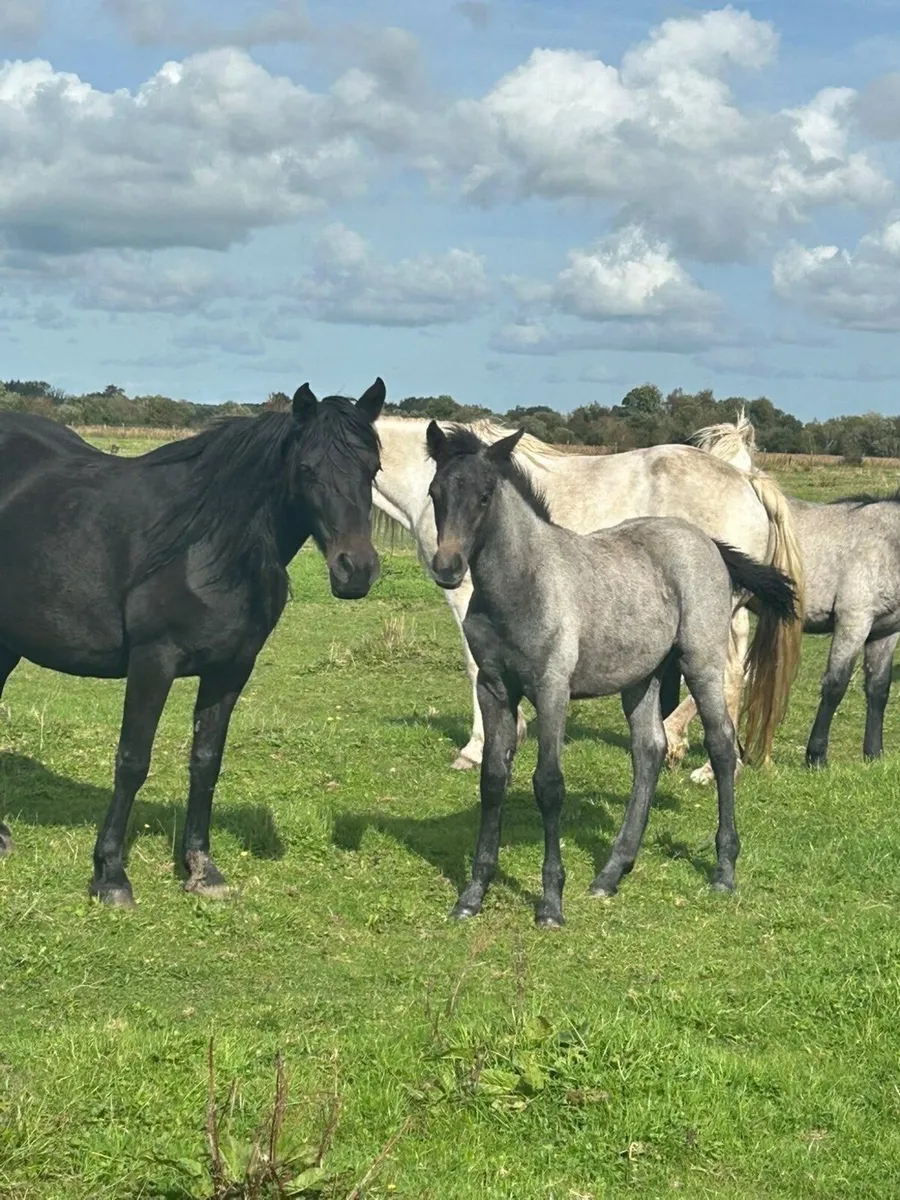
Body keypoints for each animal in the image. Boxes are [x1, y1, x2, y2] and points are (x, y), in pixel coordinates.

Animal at [0, 380, 385, 904]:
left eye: (374, 469)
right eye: (307, 468)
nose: (356, 570)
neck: (205, 547)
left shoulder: (230, 670)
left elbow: (206, 763)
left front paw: (201, 869)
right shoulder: (153, 663)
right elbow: (133, 760)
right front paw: (110, 875)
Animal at [373, 414, 805, 780]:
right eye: (435, 492)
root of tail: (747, 479)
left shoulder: (465, 595)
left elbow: (474, 665)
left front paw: (477, 748)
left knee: (728, 672)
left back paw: (695, 754)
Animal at [425, 422, 797, 927]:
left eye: (485, 496)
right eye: (435, 493)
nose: (447, 568)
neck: (522, 586)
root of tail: (706, 542)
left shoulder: (552, 688)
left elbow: (548, 784)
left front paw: (550, 903)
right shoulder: (495, 688)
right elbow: (492, 780)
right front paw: (472, 895)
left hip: (701, 661)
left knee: (721, 745)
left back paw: (723, 869)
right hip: (643, 677)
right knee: (649, 752)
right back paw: (612, 872)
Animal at [686, 414, 900, 767]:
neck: (887, 542)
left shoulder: (885, 631)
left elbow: (878, 689)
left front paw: (873, 753)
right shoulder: (854, 622)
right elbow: (835, 685)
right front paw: (816, 755)